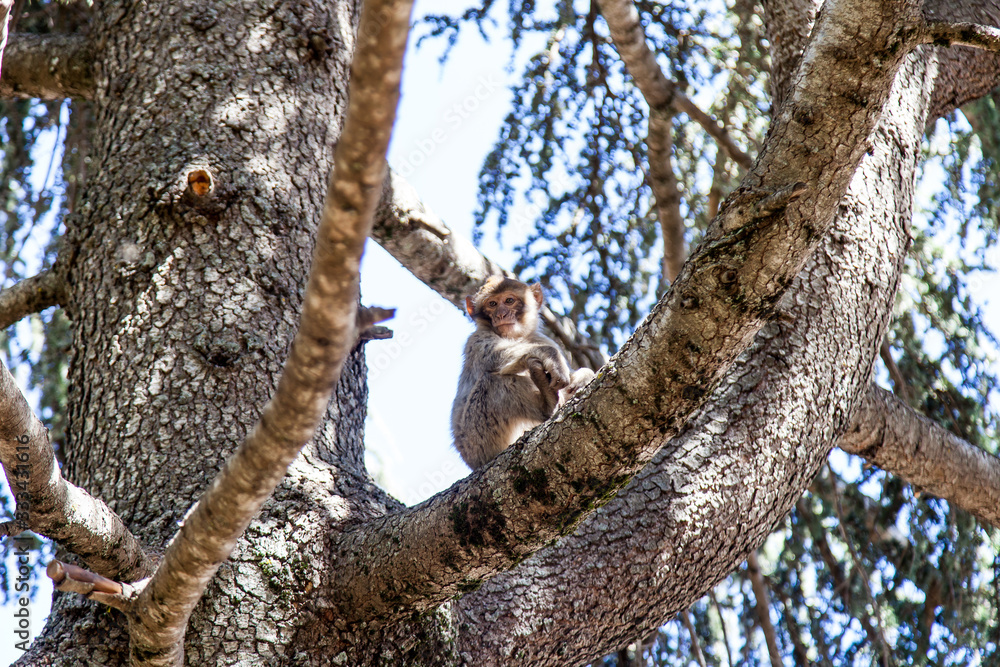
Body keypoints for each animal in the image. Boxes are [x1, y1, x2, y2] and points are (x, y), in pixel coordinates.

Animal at [451, 277, 595, 470]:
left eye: (509, 301)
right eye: (492, 304)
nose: (501, 314)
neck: (516, 337)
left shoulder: (539, 337)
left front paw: (583, 376)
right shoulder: (476, 340)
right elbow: (497, 357)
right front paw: (551, 356)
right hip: (476, 440)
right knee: (492, 382)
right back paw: (548, 404)